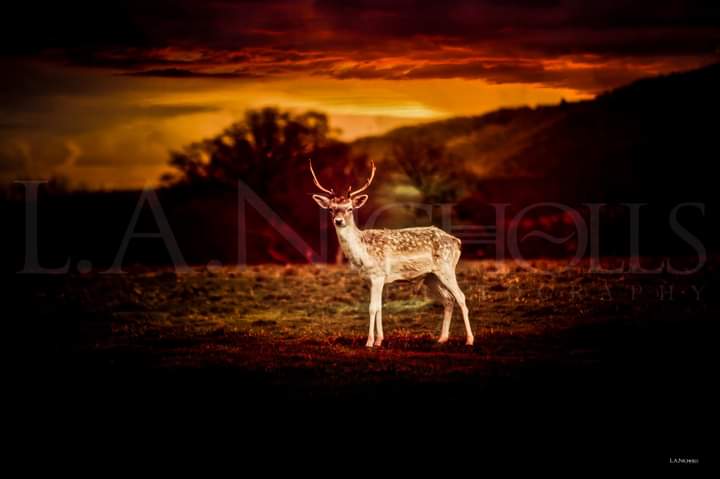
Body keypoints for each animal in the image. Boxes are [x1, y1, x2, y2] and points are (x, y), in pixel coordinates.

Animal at [310, 159, 474, 348]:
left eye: (350, 208)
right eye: (330, 209)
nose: (338, 221)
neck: (361, 255)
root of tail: (457, 241)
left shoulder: (378, 274)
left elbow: (372, 308)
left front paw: (369, 342)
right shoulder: (371, 279)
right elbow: (379, 307)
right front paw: (379, 340)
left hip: (446, 268)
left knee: (461, 297)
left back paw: (469, 340)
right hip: (431, 276)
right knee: (448, 299)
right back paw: (442, 339)